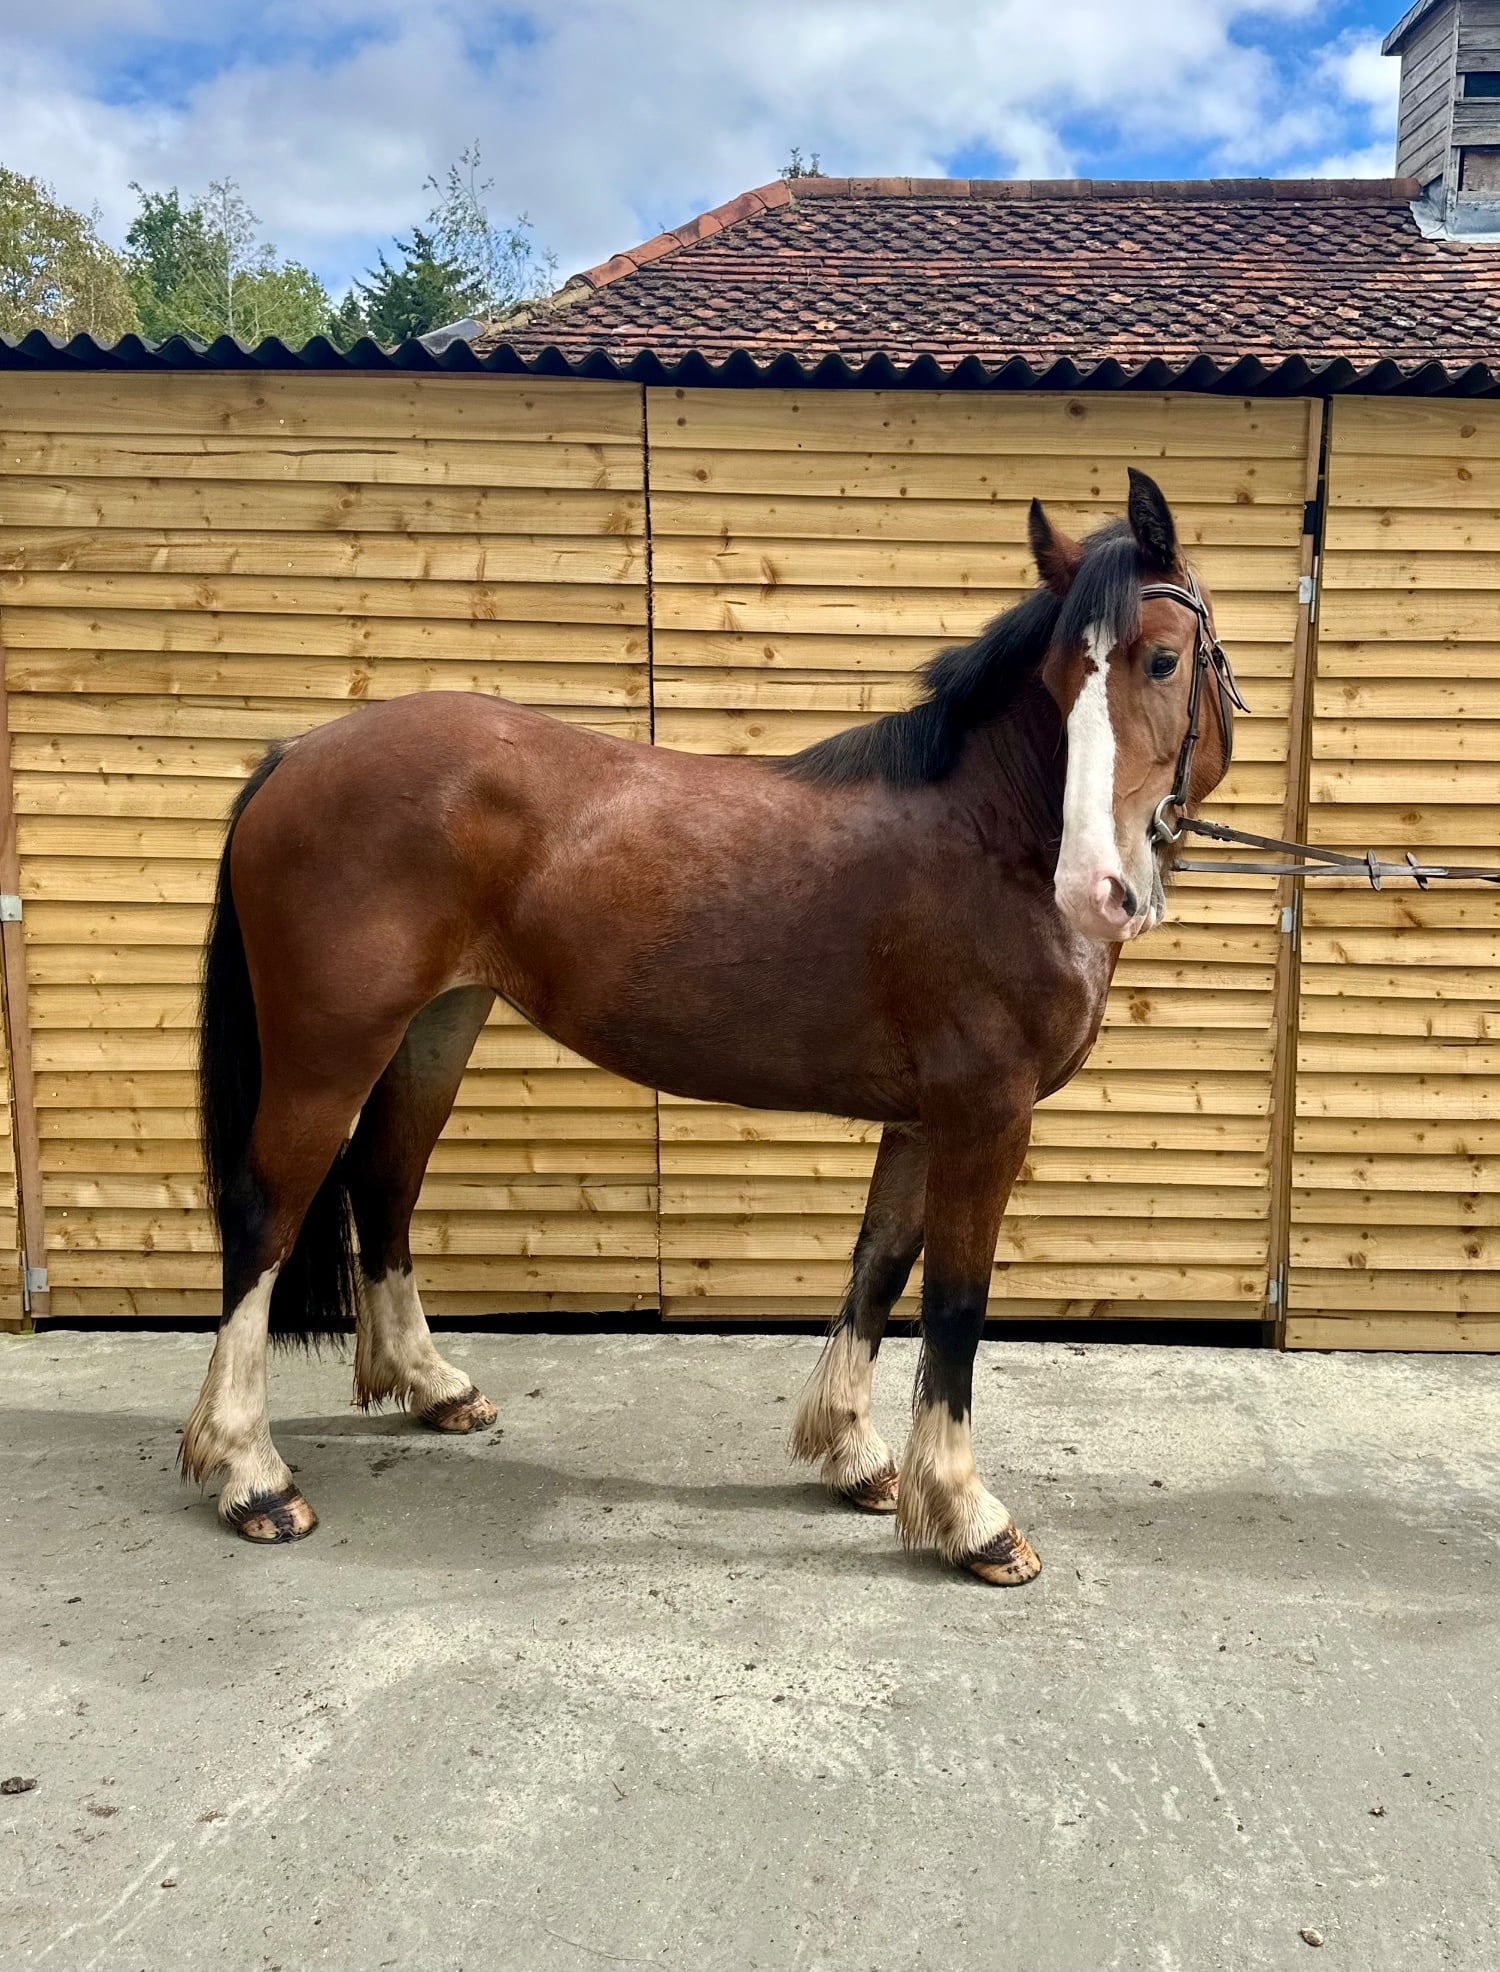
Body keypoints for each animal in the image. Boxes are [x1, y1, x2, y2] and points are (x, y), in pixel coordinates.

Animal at [179, 468, 1234, 1587]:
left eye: (1163, 660)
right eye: (1057, 677)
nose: (1097, 887)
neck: (989, 838)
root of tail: (297, 754)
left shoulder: (925, 1118)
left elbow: (878, 1267)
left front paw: (855, 1456)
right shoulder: (986, 1116)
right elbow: (956, 1303)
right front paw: (968, 1515)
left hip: (435, 1027)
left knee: (383, 1186)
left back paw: (433, 1387)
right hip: (326, 1049)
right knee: (264, 1216)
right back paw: (252, 1475)